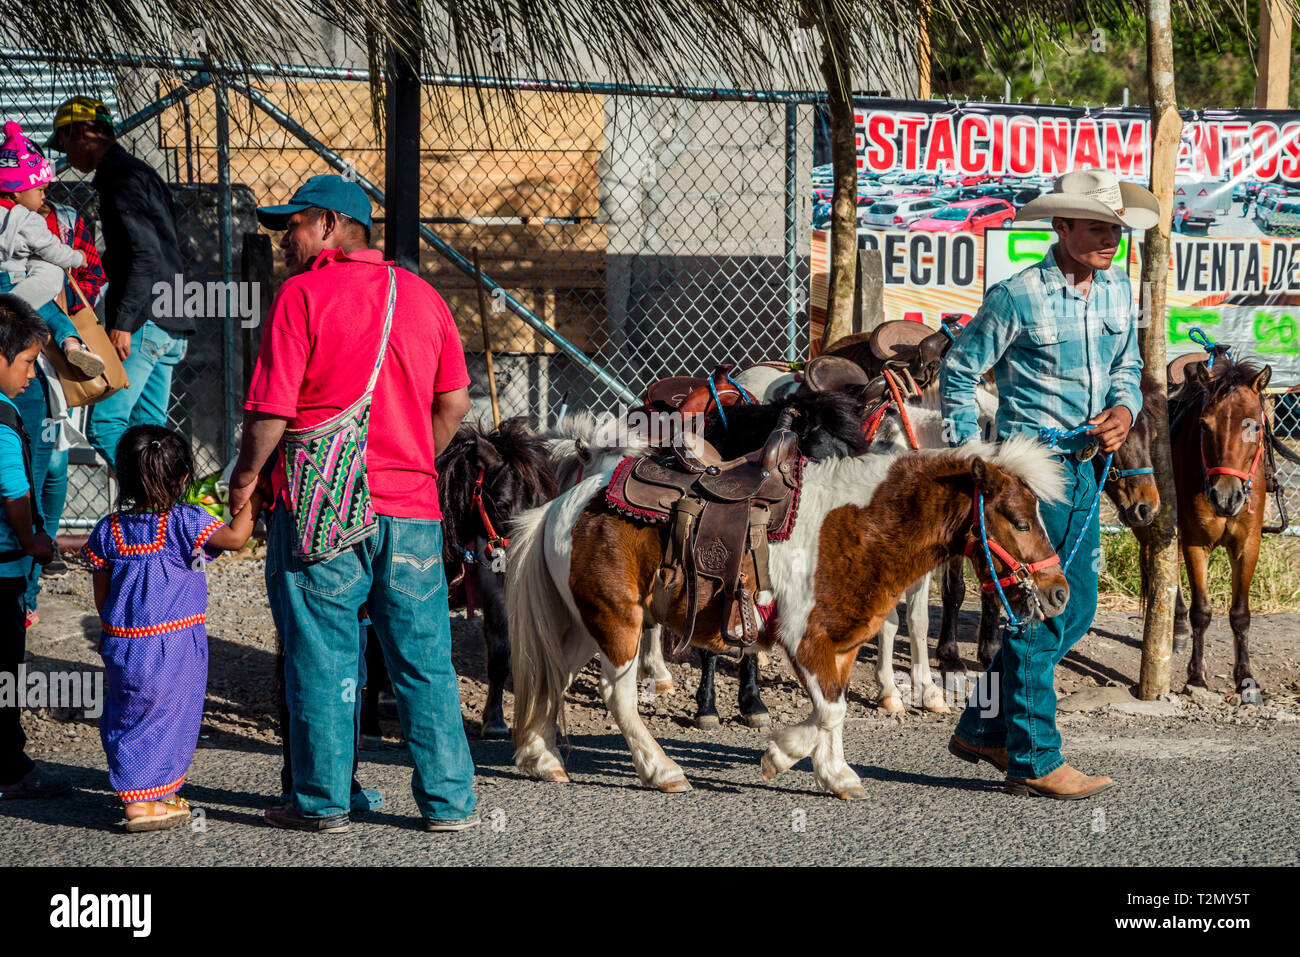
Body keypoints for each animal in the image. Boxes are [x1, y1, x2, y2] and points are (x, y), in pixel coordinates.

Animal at [506, 436, 1066, 795]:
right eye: (1019, 522)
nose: (1059, 593)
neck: (857, 526)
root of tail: (560, 506)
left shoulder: (843, 643)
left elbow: (835, 709)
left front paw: (836, 775)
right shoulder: (806, 640)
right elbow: (829, 712)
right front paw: (780, 756)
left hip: (586, 625)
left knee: (553, 677)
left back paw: (542, 759)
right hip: (618, 623)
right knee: (618, 697)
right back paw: (662, 771)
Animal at [1170, 358, 1268, 702]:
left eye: (1255, 426)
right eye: (1204, 425)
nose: (1226, 497)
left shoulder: (1247, 545)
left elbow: (1240, 614)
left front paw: (1246, 677)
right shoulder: (1196, 542)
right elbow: (1201, 610)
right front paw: (1196, 677)